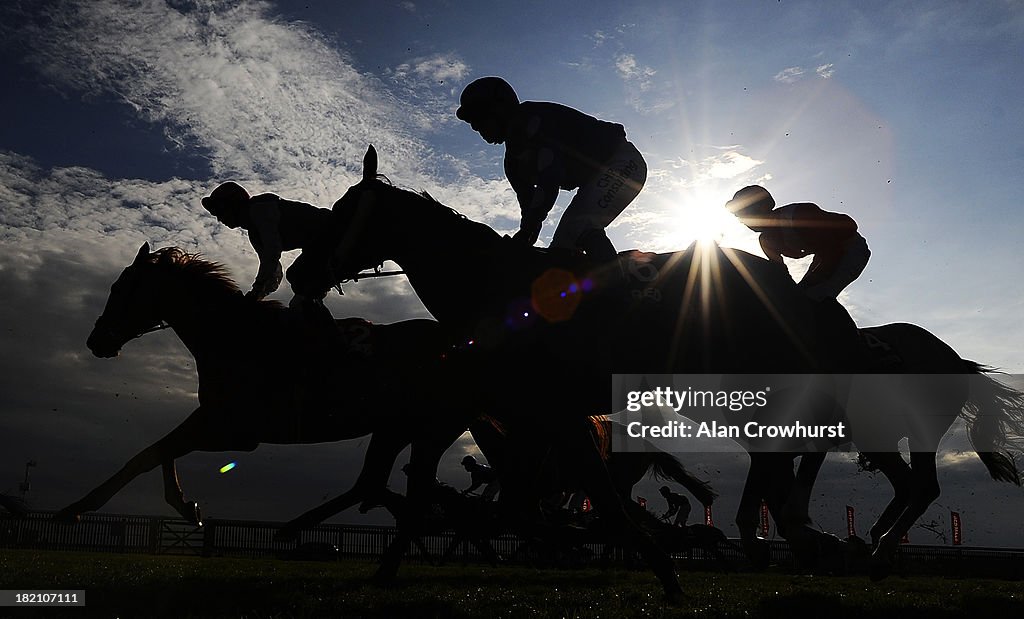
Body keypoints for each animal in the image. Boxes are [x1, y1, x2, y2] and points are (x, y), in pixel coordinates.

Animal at [60, 243, 479, 528]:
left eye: (119, 288)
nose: (96, 341)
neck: (236, 338)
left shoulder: (234, 431)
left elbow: (150, 454)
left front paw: (77, 507)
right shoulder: (214, 419)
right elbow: (160, 450)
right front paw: (185, 505)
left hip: (429, 426)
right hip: (399, 428)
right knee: (382, 483)